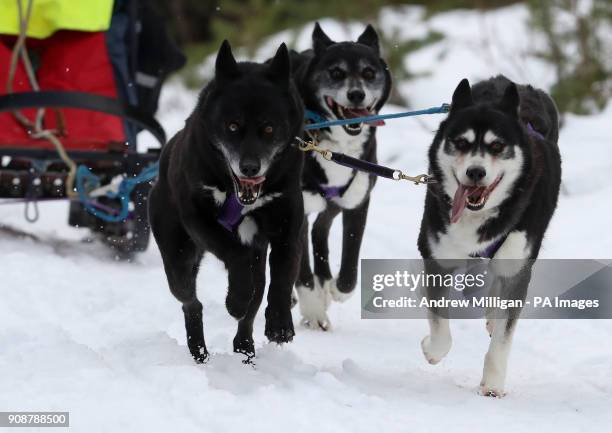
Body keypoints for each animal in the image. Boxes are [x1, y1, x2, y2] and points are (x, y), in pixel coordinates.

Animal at [290, 22, 390, 328]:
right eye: (336, 72)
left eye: (369, 72)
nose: (356, 94)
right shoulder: (296, 209)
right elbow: (301, 270)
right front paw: (313, 311)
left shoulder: (357, 202)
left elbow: (350, 262)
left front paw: (336, 288)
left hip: (334, 203)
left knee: (320, 229)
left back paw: (324, 282)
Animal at [418, 75, 560, 394]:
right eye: (461, 143)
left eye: (497, 146)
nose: (475, 172)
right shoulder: (437, 256)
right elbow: (439, 325)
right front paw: (431, 348)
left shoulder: (517, 265)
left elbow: (503, 340)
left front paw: (493, 384)